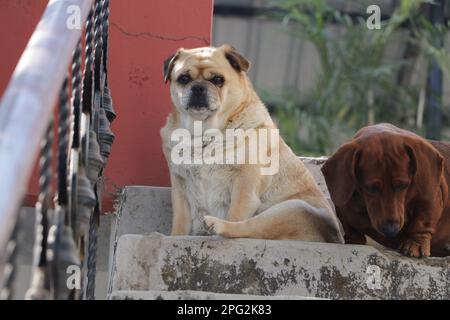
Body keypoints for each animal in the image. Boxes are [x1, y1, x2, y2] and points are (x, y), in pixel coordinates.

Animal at [160, 45, 342, 244]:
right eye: (184, 79)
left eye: (218, 80)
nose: (199, 87)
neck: (202, 133)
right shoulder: (181, 189)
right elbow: (180, 222)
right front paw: (174, 237)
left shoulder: (244, 185)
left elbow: (236, 213)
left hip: (290, 208)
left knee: (249, 228)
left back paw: (219, 226)